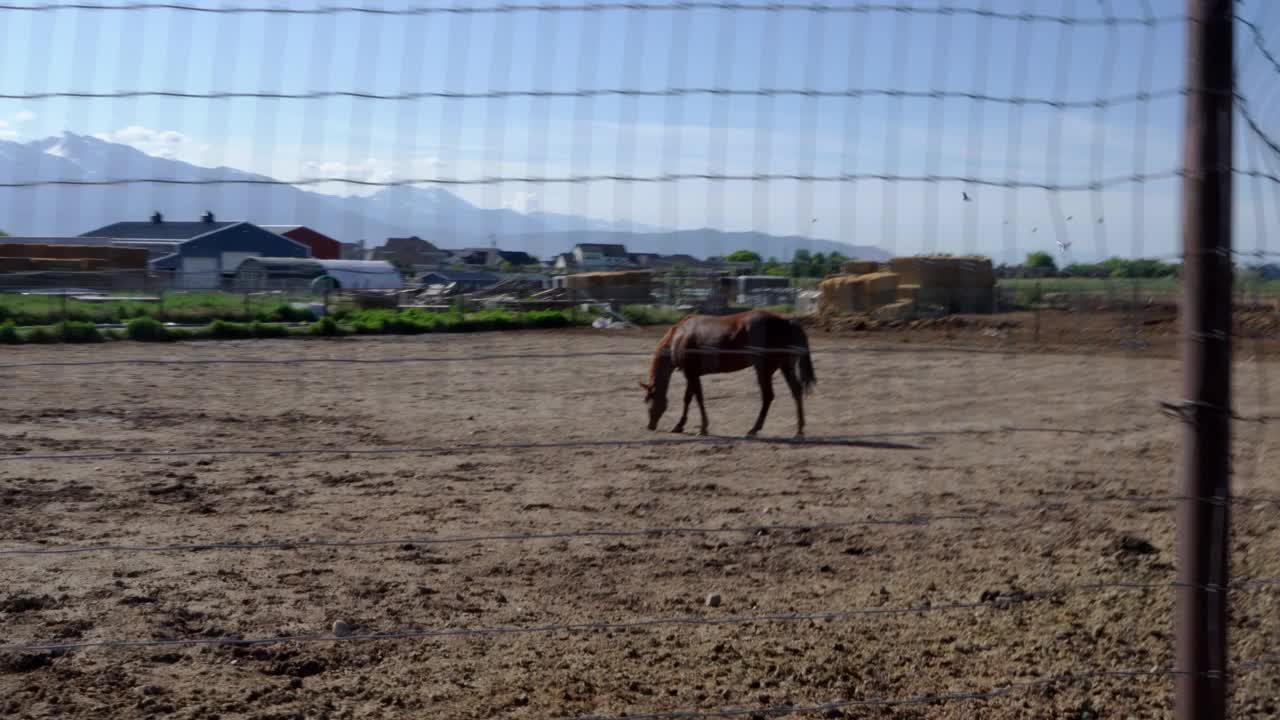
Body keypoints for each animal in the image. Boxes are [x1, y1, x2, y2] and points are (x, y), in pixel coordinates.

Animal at [640, 308, 819, 438]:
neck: (679, 336)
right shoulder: (692, 374)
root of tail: (787, 321)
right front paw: (679, 426)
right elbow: (688, 399)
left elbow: (698, 398)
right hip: (785, 366)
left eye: (648, 400)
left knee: (768, 396)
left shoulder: (690, 374)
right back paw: (799, 430)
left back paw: (754, 429)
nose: (650, 426)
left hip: (764, 370)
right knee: (796, 391)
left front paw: (703, 428)